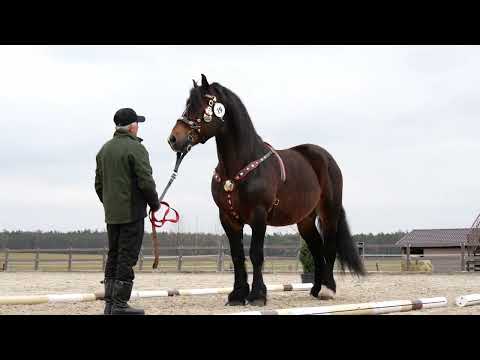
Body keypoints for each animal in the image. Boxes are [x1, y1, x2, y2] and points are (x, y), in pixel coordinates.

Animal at [168, 74, 364, 306]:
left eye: (200, 106)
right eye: (187, 105)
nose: (174, 139)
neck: (240, 166)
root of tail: (325, 157)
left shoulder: (258, 215)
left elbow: (256, 254)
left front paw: (257, 295)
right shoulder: (228, 218)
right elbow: (237, 255)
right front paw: (237, 295)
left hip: (329, 212)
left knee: (329, 247)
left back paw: (328, 290)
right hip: (305, 220)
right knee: (316, 249)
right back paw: (315, 289)